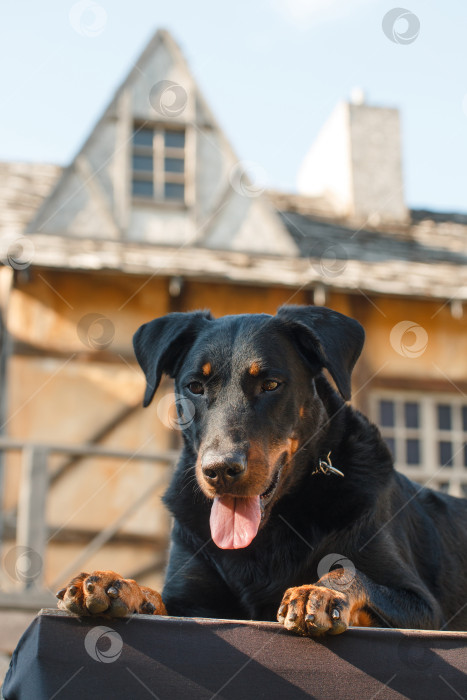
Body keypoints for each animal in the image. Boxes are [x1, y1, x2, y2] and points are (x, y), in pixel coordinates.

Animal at [57, 306, 467, 636]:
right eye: (194, 386)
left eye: (270, 384)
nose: (220, 469)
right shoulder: (192, 601)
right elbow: (157, 596)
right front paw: (115, 584)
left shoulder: (422, 608)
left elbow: (353, 575)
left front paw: (320, 593)